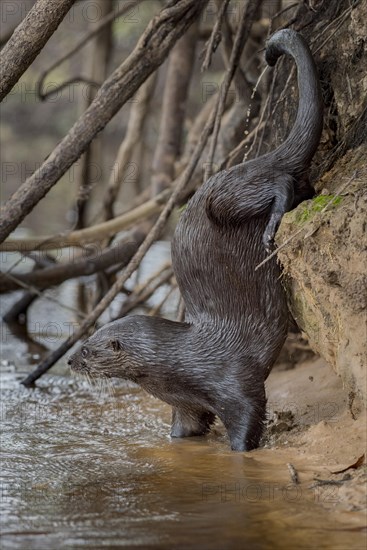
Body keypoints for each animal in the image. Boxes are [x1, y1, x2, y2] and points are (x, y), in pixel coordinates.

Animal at [68, 29, 322, 452]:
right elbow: (185, 429)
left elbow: (247, 418)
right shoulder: (185, 404)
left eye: (89, 348)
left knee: (279, 182)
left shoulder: (233, 383)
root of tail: (251, 160)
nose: (70, 360)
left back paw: (274, 221)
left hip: (225, 200)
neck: (183, 365)